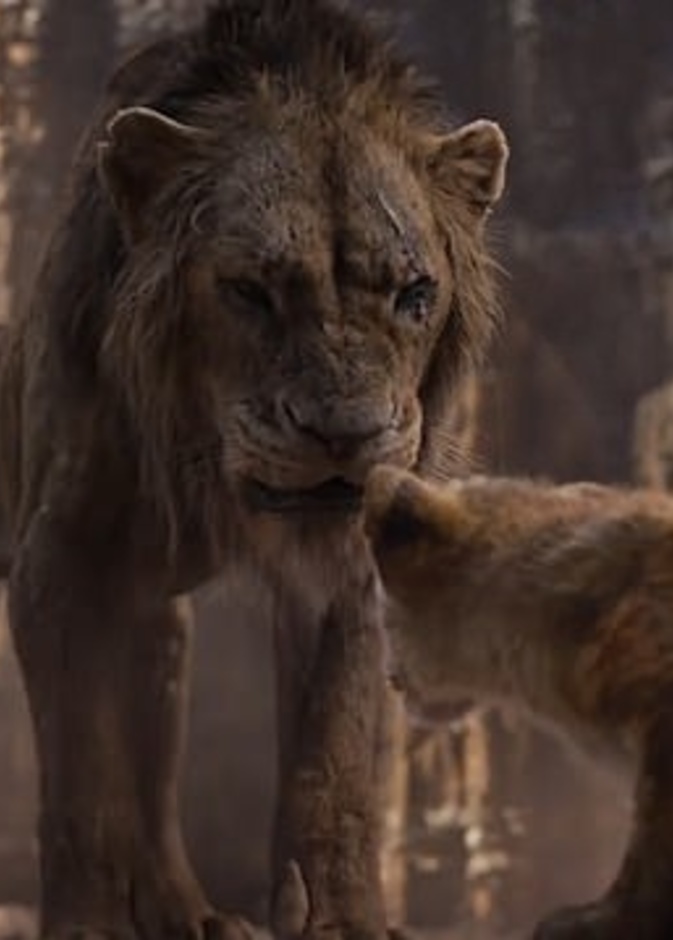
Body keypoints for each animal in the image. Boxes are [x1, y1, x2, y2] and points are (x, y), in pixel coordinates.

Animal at [0, 2, 508, 939]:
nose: (345, 434)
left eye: (414, 294)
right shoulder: (61, 554)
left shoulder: (353, 569)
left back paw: (190, 913)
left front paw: (342, 917)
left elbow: (333, 759)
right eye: (250, 291)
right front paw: (90, 921)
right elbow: (83, 768)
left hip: (158, 622)